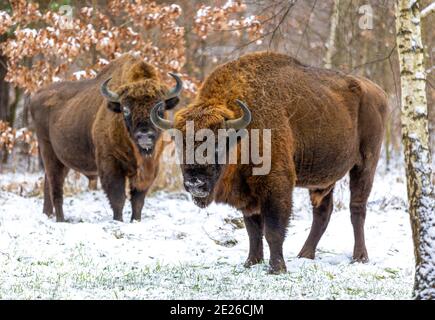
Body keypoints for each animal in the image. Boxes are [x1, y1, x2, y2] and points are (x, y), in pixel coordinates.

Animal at [29, 53, 181, 221]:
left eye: (160, 108)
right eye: (125, 110)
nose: (144, 135)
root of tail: (36, 95)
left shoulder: (151, 167)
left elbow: (138, 200)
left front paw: (135, 220)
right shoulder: (110, 164)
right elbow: (118, 198)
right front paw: (118, 220)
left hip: (62, 159)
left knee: (48, 183)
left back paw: (48, 215)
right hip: (48, 152)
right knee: (56, 188)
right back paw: (60, 220)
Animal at [152, 51, 390, 274]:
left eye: (218, 144)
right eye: (180, 144)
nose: (195, 183)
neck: (242, 134)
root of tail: (379, 92)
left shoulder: (276, 186)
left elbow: (273, 230)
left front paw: (277, 268)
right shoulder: (247, 196)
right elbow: (253, 230)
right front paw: (251, 262)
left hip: (365, 164)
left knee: (357, 208)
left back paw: (359, 257)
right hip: (323, 179)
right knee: (323, 212)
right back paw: (305, 255)